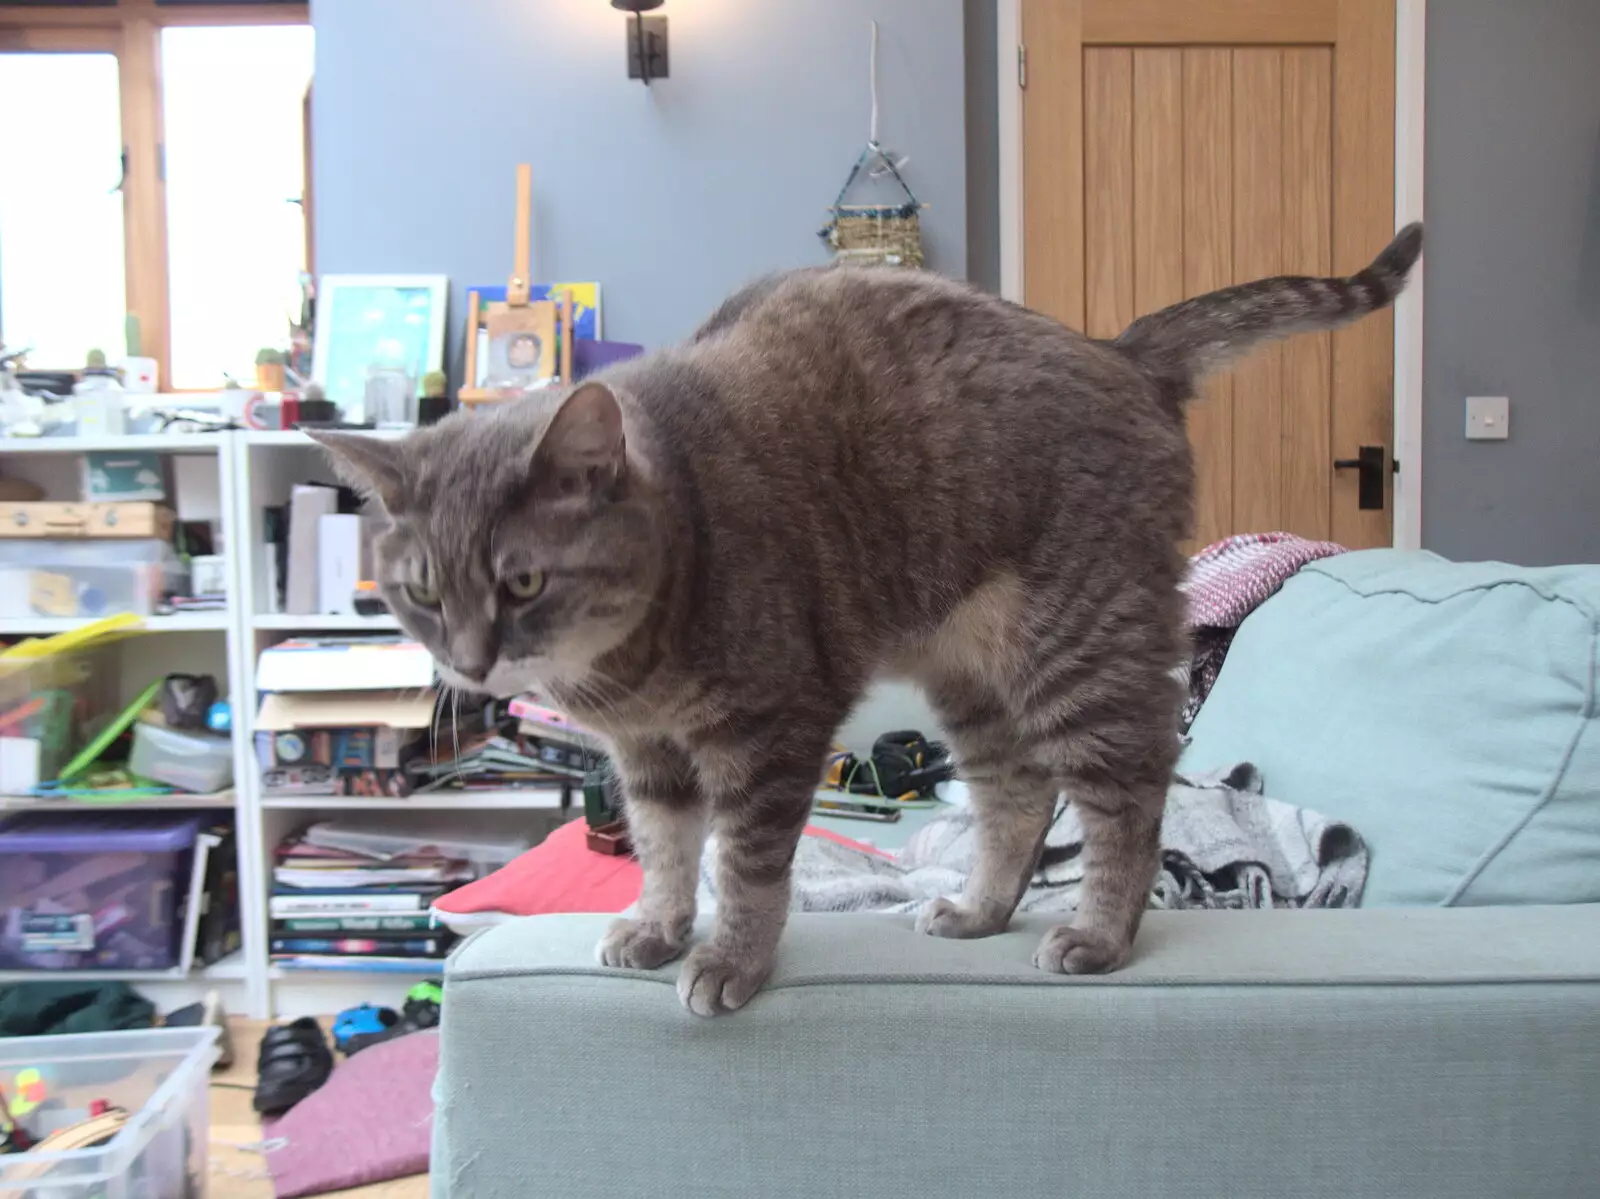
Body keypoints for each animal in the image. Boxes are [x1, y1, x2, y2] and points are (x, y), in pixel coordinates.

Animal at [315, 219, 1427, 1018]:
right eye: (422, 591)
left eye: (521, 585)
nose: (470, 665)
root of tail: (1116, 349)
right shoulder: (651, 755)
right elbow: (669, 847)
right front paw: (658, 925)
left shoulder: (772, 726)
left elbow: (745, 862)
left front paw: (731, 959)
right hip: (972, 676)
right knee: (1019, 795)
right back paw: (979, 907)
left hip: (1082, 645)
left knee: (1126, 800)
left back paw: (1100, 934)